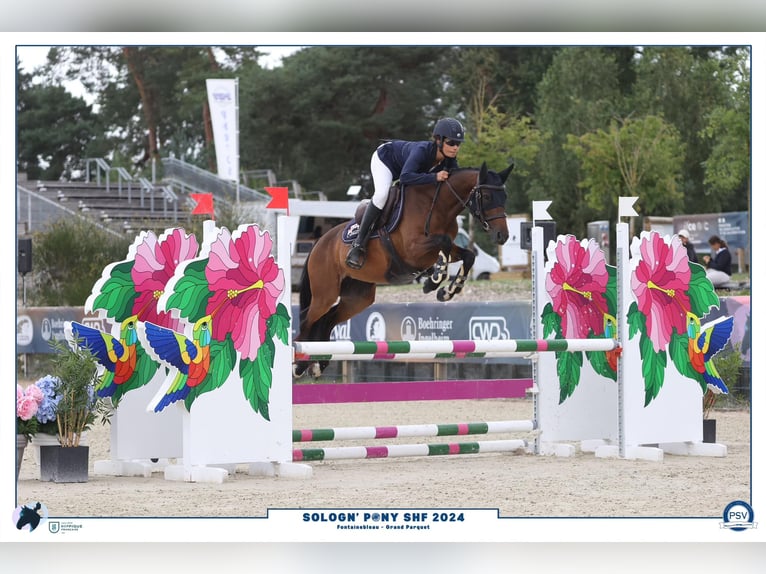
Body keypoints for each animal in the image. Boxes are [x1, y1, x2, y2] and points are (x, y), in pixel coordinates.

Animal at [294, 162, 516, 378]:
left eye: (505, 197)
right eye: (486, 196)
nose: (502, 236)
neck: (438, 206)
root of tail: (319, 243)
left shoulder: (442, 249)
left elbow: (467, 255)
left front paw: (447, 291)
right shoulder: (413, 250)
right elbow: (443, 243)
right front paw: (434, 280)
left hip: (358, 297)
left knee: (328, 319)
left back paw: (318, 363)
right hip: (325, 293)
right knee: (308, 319)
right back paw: (299, 364)